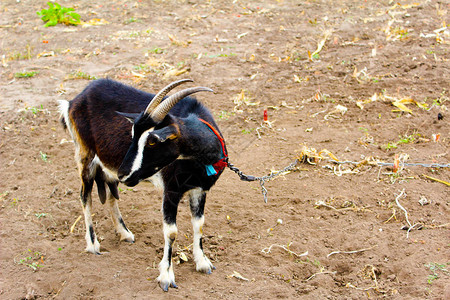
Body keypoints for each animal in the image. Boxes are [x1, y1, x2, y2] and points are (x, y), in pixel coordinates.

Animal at [59, 79, 229, 290]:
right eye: (133, 134)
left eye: (153, 141)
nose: (124, 173)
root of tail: (74, 100)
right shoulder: (171, 191)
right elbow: (171, 232)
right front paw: (166, 276)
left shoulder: (200, 190)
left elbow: (199, 224)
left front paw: (203, 263)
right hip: (85, 155)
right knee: (85, 196)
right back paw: (92, 244)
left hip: (106, 165)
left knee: (110, 193)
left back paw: (124, 233)